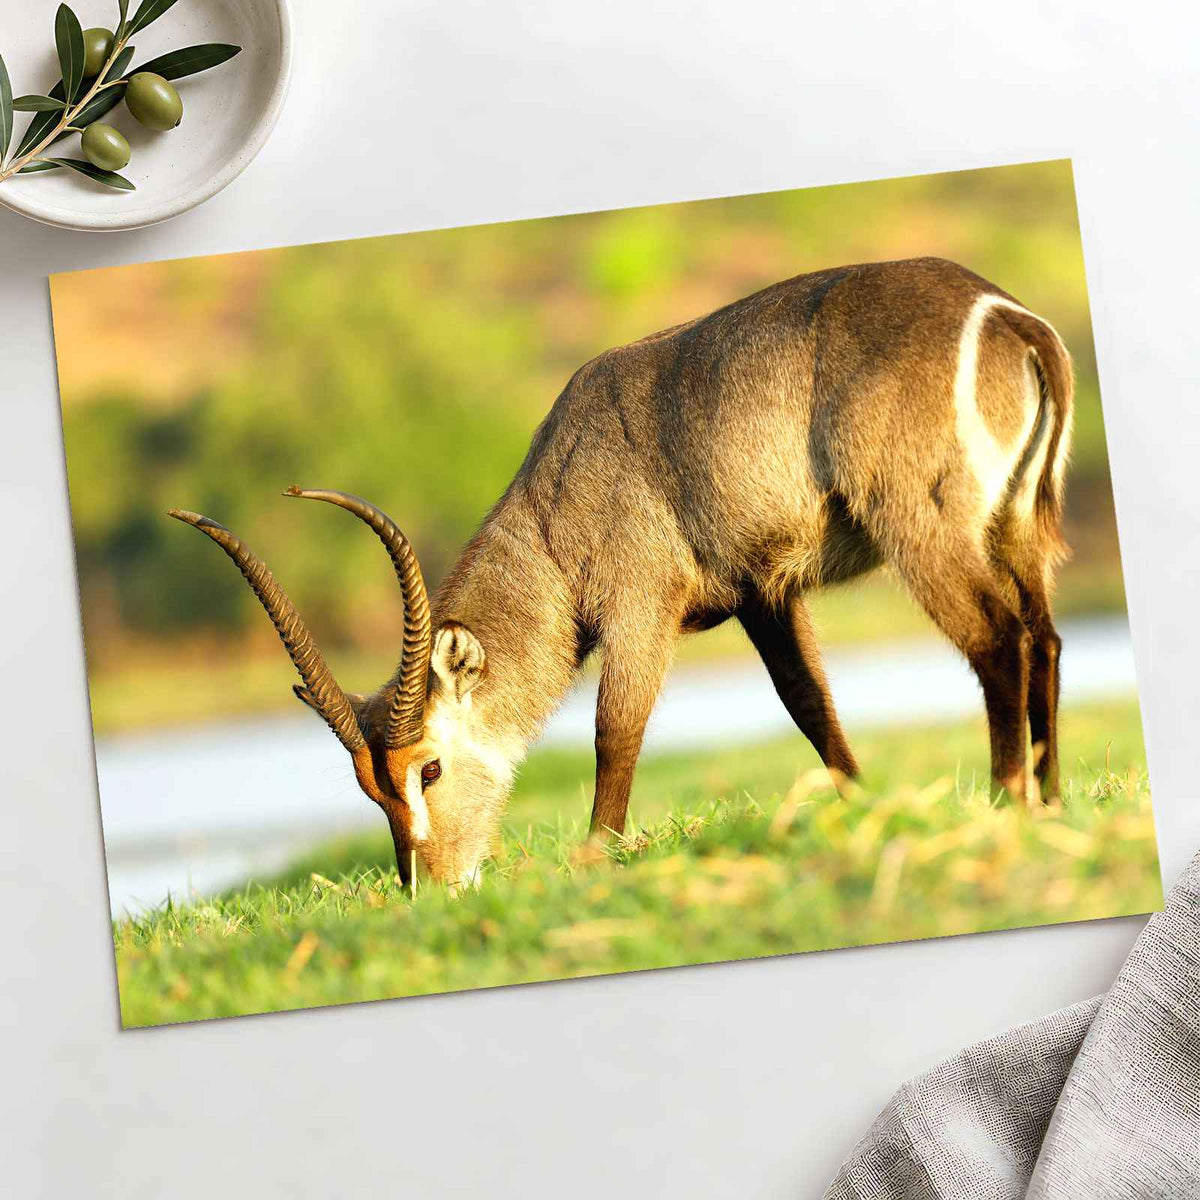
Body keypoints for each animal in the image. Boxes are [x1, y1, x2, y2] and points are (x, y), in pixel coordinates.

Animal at [170, 256, 1073, 890]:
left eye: (427, 767)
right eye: (370, 789)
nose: (429, 888)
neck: (554, 506)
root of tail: (1002, 313)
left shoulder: (643, 609)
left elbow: (617, 730)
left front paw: (594, 855)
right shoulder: (765, 595)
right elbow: (810, 705)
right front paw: (862, 806)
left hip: (925, 528)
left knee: (996, 638)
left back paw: (1008, 798)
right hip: (1015, 529)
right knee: (1046, 638)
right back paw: (1053, 796)